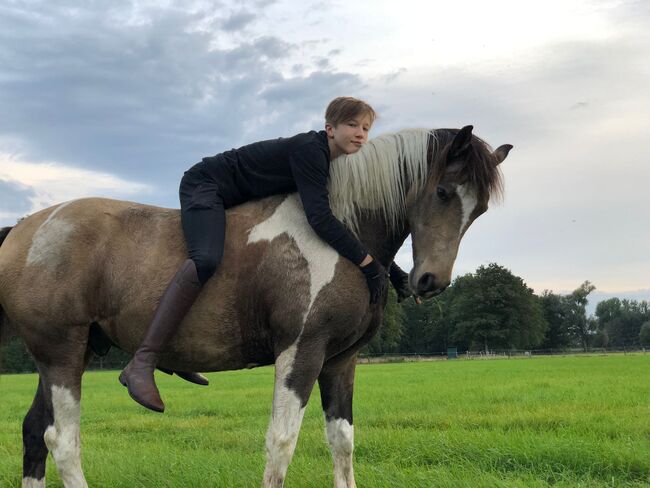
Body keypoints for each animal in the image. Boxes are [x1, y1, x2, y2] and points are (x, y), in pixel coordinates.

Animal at [0, 127, 506, 488]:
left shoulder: (340, 362)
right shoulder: (300, 353)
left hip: (67, 356)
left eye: (480, 209)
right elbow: (281, 443)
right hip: (62, 354)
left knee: (34, 433)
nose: (430, 282)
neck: (338, 233)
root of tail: (25, 229)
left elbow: (342, 443)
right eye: (443, 192)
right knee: (62, 440)